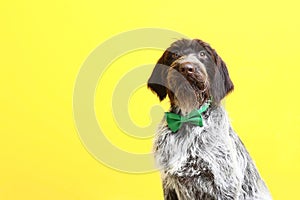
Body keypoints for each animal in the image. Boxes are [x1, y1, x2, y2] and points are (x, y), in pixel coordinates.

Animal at [148, 39, 272, 200]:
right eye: (174, 54)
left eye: (203, 54)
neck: (188, 119)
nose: (186, 68)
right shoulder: (169, 184)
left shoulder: (224, 185)